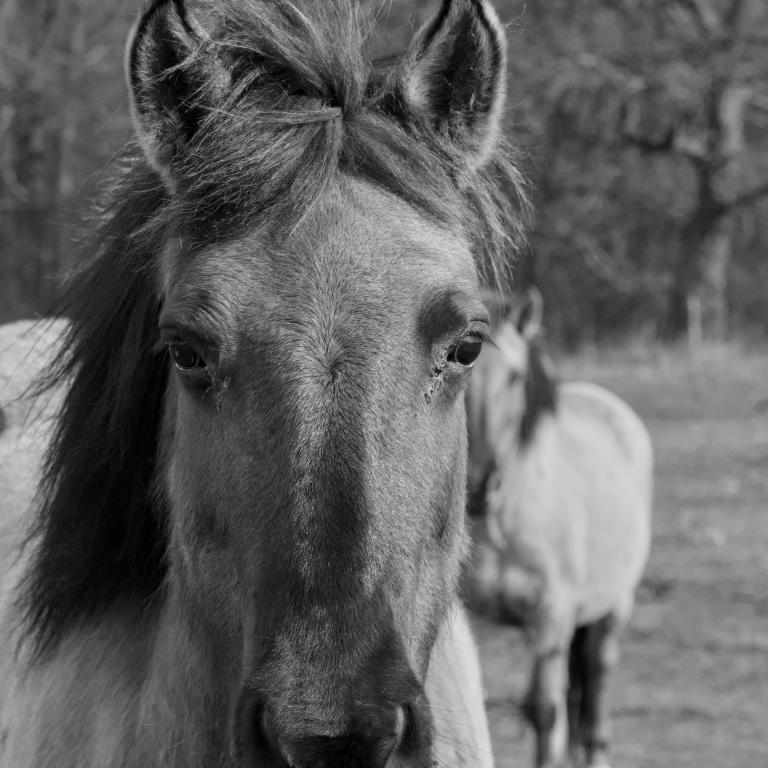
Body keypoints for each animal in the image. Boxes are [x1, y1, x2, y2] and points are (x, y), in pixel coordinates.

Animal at [464, 290, 653, 768]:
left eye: (515, 377)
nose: (479, 486)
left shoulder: (552, 615)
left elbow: (546, 713)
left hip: (612, 610)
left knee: (596, 684)